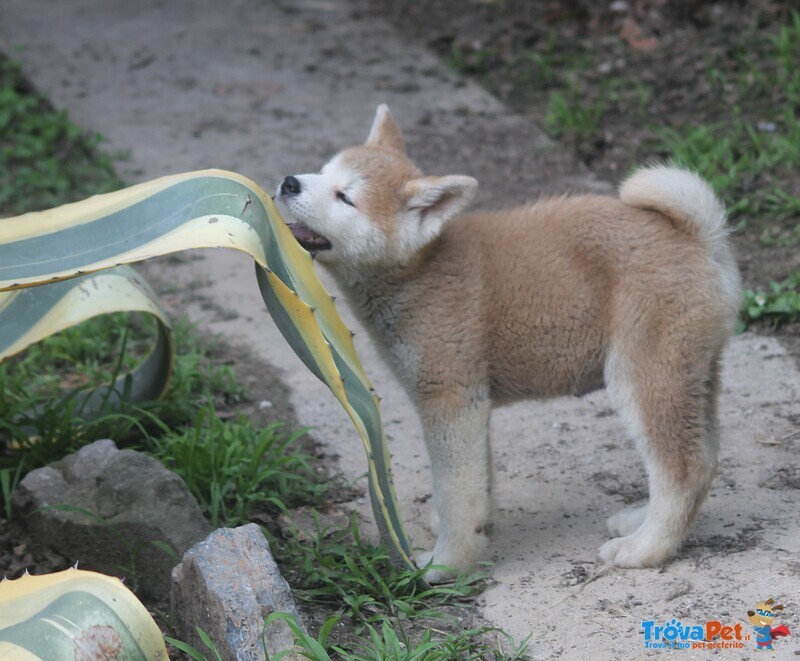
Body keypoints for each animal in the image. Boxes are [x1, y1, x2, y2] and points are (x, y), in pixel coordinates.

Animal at [276, 105, 736, 580]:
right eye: (322, 171)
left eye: (344, 197)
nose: (289, 182)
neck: (420, 270)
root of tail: (696, 236)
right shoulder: (472, 404)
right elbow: (476, 482)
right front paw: (474, 527)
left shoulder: (450, 399)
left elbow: (455, 493)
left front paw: (446, 564)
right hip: (694, 376)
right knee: (705, 460)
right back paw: (638, 522)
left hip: (645, 378)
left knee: (682, 471)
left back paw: (645, 548)